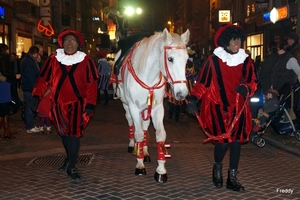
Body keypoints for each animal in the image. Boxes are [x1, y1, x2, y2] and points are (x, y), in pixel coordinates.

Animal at [115, 28, 190, 183]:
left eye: (186, 60)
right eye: (170, 59)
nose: (182, 93)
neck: (148, 76)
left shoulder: (157, 108)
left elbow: (160, 134)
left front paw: (160, 170)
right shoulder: (134, 107)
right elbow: (138, 134)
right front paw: (139, 165)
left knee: (144, 126)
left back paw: (144, 152)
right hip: (126, 105)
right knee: (131, 122)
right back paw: (132, 146)